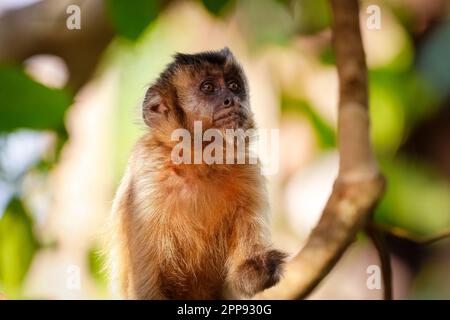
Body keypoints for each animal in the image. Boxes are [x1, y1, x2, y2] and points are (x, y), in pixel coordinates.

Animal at [107, 47, 286, 300]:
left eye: (233, 85)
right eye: (208, 88)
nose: (232, 99)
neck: (199, 164)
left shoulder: (247, 170)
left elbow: (244, 276)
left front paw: (259, 268)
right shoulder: (146, 176)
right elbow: (146, 287)